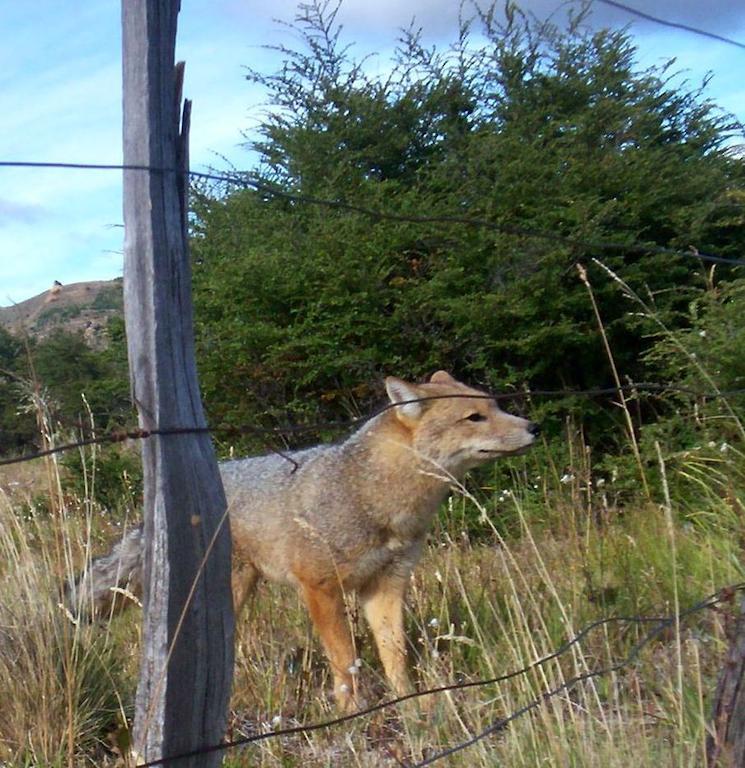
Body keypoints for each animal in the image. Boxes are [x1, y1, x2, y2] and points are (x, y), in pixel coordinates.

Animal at [72, 370, 536, 708]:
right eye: (474, 418)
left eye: (495, 406)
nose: (534, 425)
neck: (372, 494)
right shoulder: (320, 588)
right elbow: (346, 662)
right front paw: (351, 713)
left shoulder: (386, 586)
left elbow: (395, 656)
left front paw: (410, 705)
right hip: (230, 591)